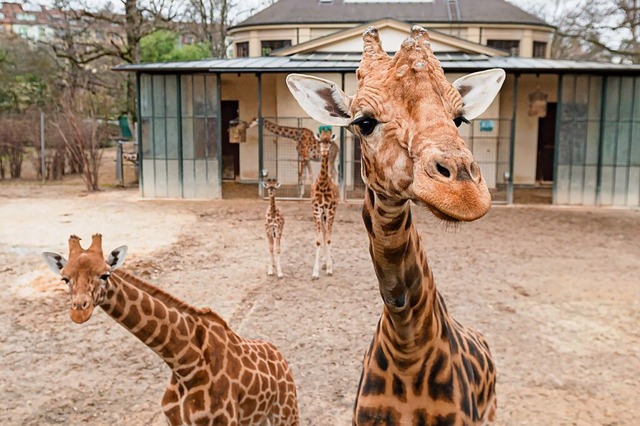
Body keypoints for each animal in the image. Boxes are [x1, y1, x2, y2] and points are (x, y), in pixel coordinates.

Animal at [42, 235, 300, 424]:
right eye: (65, 279)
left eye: (105, 275)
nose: (79, 311)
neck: (185, 365)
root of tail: (281, 358)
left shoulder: (226, 422)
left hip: (286, 411)